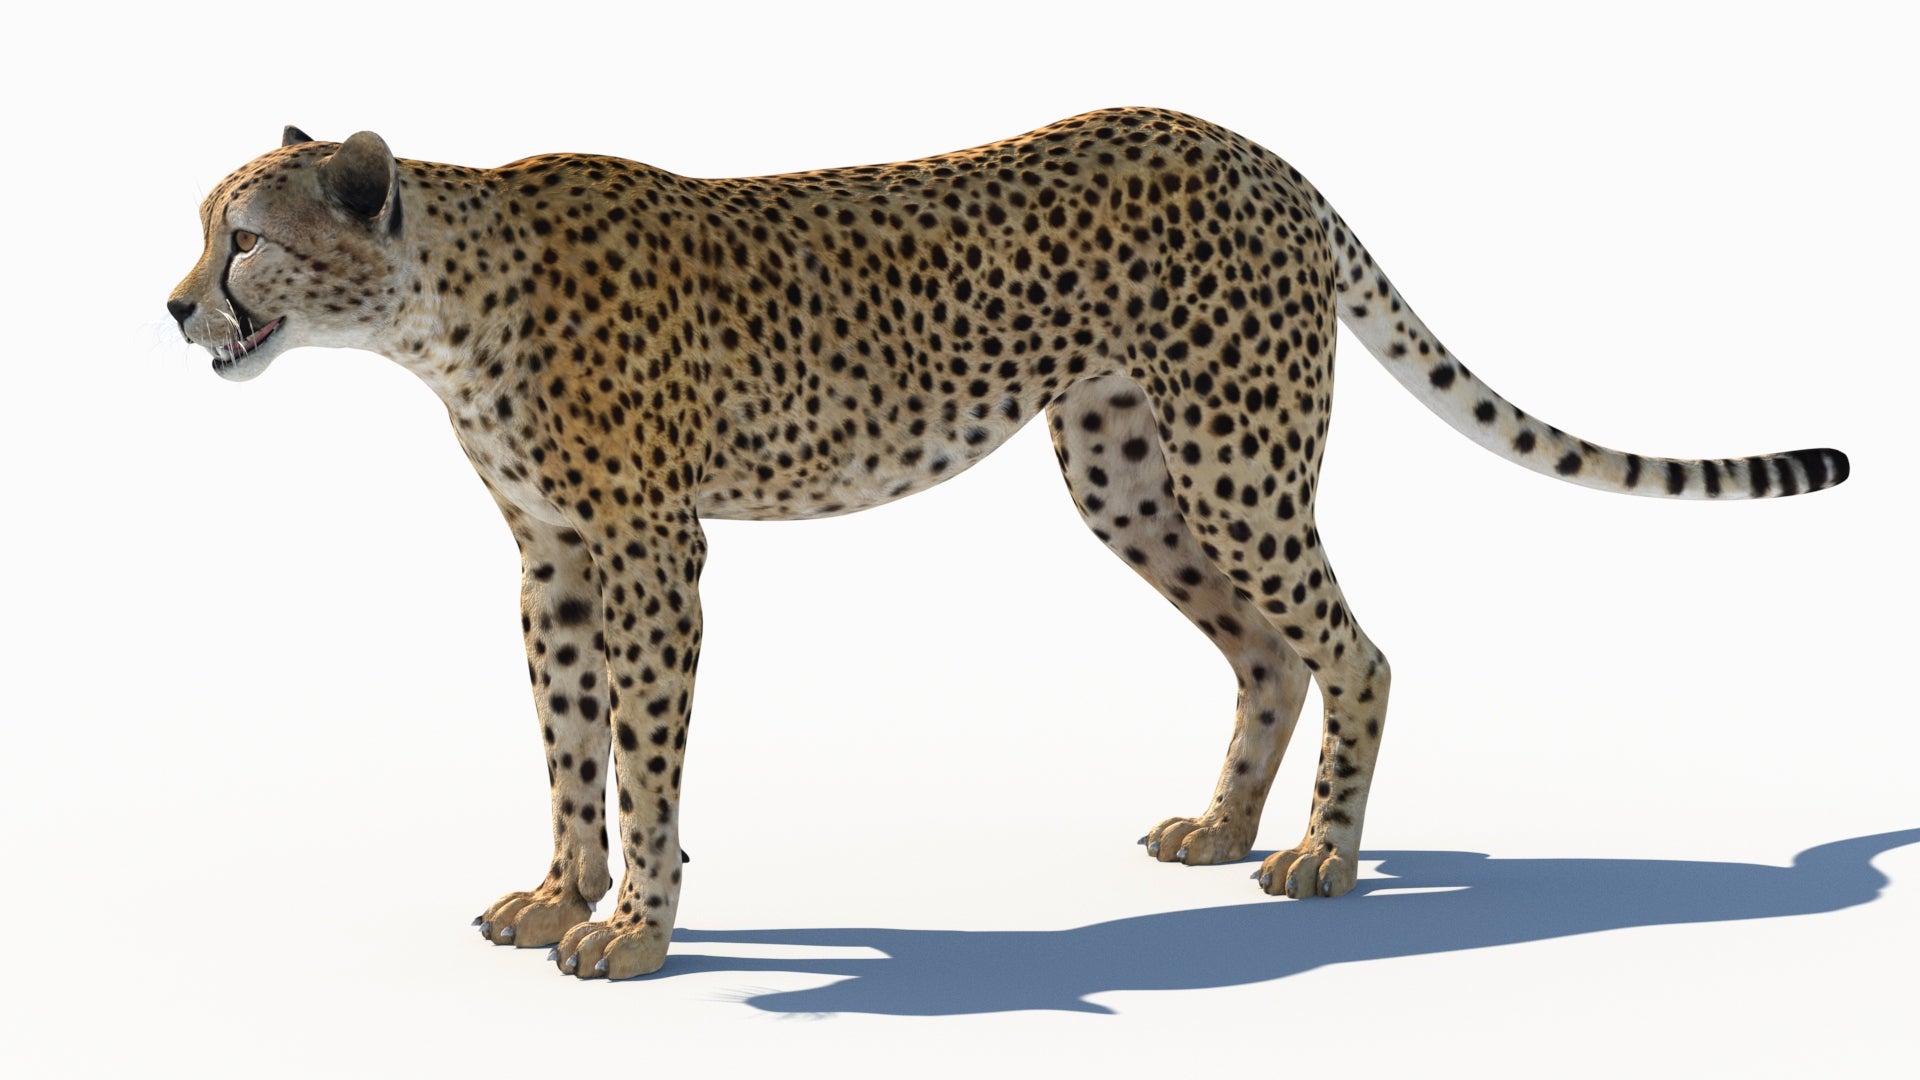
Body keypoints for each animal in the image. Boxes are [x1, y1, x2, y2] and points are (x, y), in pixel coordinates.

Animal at [169, 108, 1849, 980]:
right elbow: (567, 740)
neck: (436, 306)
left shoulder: (653, 552)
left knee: (1356, 646)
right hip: (1129, 471)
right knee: (1266, 647)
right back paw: (1223, 827)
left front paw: (636, 926)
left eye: (243, 238)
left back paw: (1321, 855)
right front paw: (558, 893)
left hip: (1237, 455)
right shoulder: (556, 560)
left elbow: (645, 754)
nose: (176, 306)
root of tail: (1255, 149)